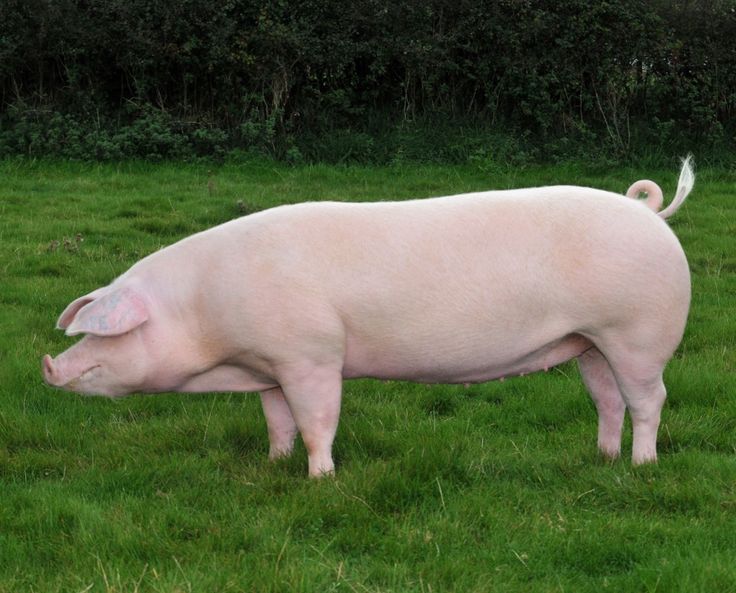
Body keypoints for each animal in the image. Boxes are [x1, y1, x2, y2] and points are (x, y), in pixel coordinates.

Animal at [43, 157, 692, 476]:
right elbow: (276, 421)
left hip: (637, 333)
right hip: (589, 341)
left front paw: (319, 479)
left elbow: (316, 421)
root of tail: (651, 215)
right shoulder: (270, 367)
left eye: (104, 334)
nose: (49, 365)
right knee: (607, 399)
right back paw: (603, 459)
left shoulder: (310, 355)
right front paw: (274, 465)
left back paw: (642, 465)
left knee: (650, 399)